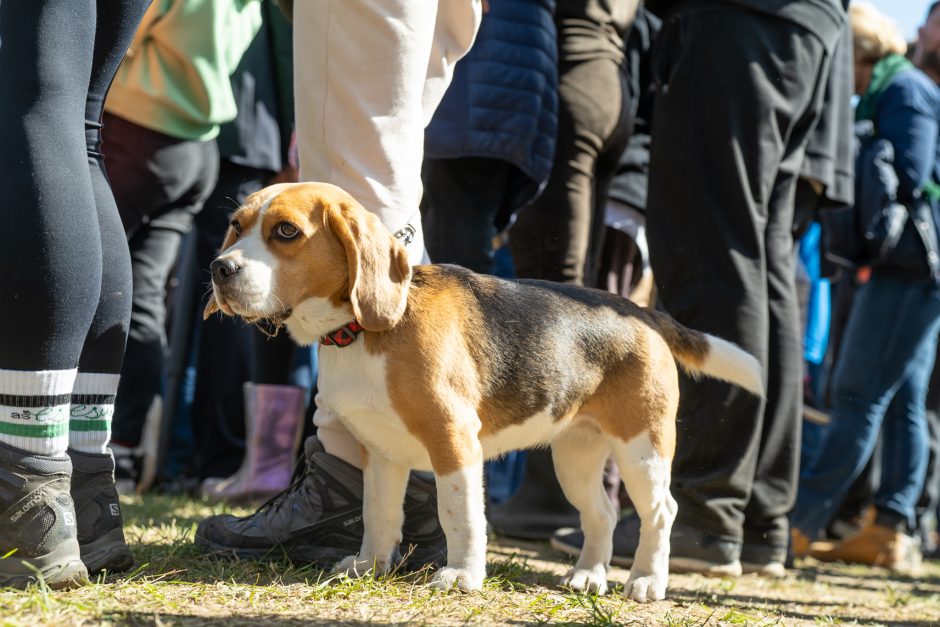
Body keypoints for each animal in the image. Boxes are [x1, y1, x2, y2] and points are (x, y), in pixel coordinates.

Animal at [206, 182, 764, 604]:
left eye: (286, 232)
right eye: (236, 226)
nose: (219, 269)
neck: (360, 331)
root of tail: (640, 311)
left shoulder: (453, 440)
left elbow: (461, 516)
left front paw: (462, 576)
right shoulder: (382, 451)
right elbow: (378, 513)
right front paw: (370, 565)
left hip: (642, 448)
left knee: (661, 513)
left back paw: (647, 580)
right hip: (575, 456)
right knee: (601, 514)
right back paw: (589, 576)